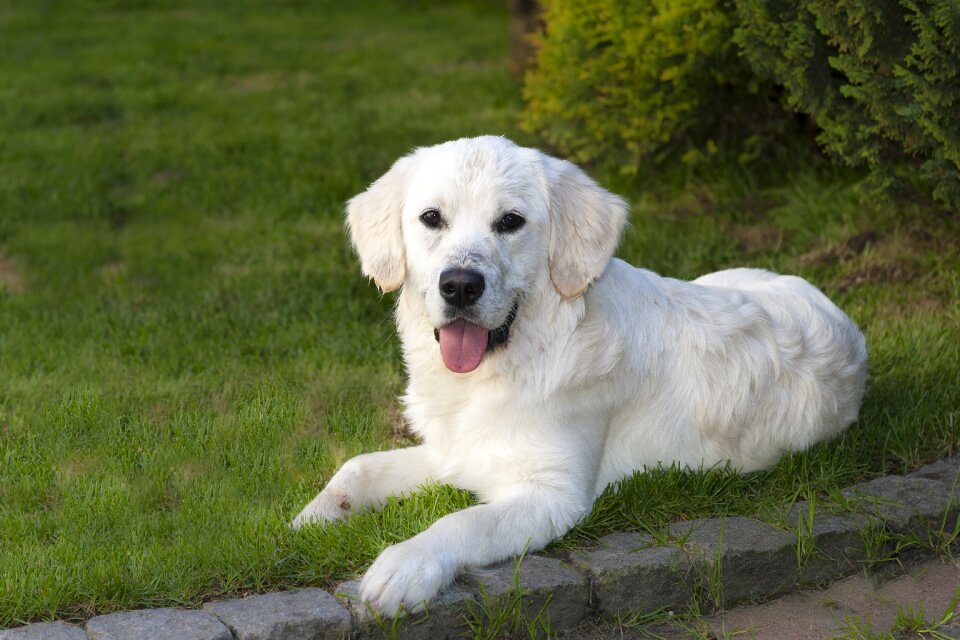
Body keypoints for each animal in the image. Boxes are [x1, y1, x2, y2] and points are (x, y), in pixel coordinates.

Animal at [290, 135, 864, 616]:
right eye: (431, 218)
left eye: (511, 222)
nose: (460, 285)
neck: (516, 359)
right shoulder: (453, 452)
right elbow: (357, 466)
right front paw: (310, 520)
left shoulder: (553, 494)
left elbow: (461, 520)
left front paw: (403, 567)